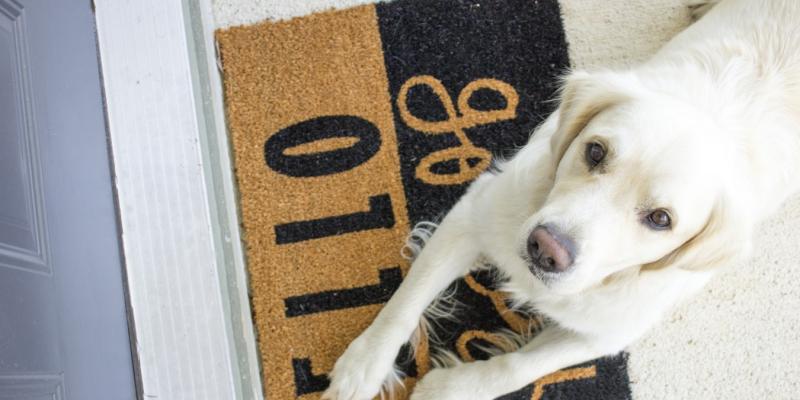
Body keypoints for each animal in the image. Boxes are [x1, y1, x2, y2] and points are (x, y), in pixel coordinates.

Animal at [322, 1, 800, 398]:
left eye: (661, 219)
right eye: (595, 151)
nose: (546, 249)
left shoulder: (609, 331)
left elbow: (517, 367)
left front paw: (452, 388)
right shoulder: (477, 210)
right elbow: (407, 299)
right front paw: (363, 365)